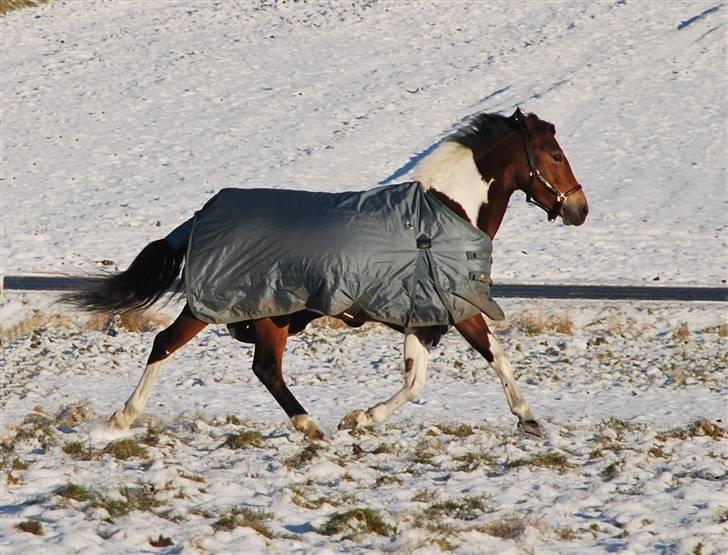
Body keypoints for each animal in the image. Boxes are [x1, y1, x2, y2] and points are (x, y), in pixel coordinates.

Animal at [64, 107, 592, 438]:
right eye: (556, 156)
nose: (580, 209)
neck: (445, 210)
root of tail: (199, 216)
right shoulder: (458, 309)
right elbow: (492, 358)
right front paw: (529, 420)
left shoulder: (423, 316)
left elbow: (417, 379)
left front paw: (360, 419)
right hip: (237, 308)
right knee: (176, 347)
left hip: (267, 315)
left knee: (263, 369)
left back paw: (311, 427)